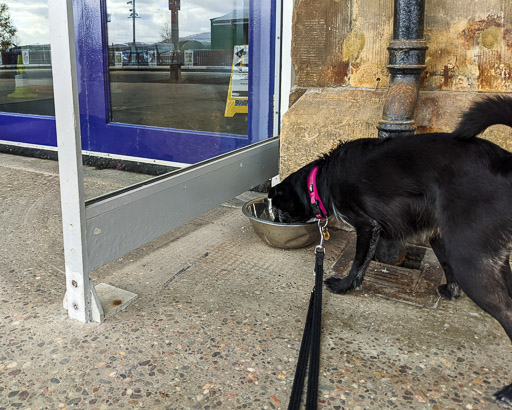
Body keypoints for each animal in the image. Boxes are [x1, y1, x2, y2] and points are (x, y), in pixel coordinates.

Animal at [268, 95, 512, 404]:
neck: (320, 179)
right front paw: (451, 290)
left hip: (471, 258)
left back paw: (509, 391)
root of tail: (506, 161)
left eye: (278, 207)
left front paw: (345, 285)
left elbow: (360, 261)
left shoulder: (367, 226)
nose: (275, 219)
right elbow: (445, 266)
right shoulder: (436, 235)